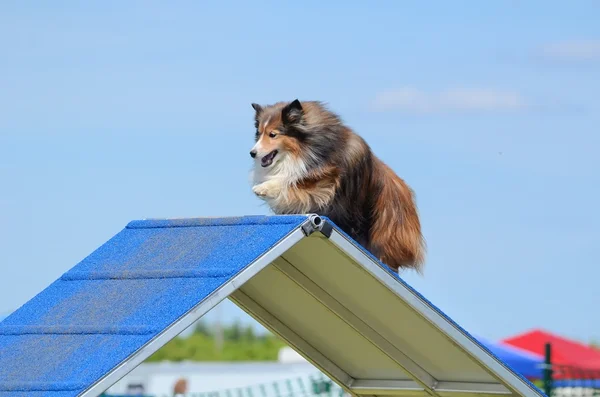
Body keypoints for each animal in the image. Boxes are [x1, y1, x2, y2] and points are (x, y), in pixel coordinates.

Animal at [248, 99, 426, 272]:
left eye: (273, 134)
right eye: (259, 133)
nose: (252, 153)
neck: (307, 147)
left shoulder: (325, 179)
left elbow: (293, 182)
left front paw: (263, 188)